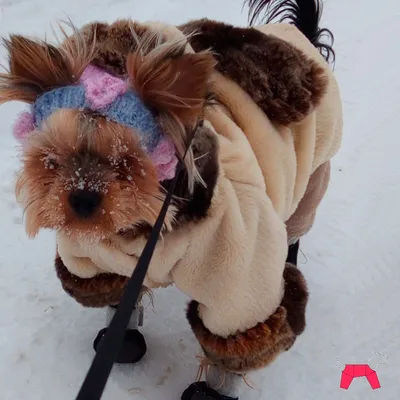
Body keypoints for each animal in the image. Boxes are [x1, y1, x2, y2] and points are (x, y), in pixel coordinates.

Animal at [0, 1, 344, 398]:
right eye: (53, 159)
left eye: (127, 163)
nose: (82, 200)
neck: (141, 225)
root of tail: (301, 36)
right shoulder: (102, 257)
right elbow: (115, 293)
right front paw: (121, 339)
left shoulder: (237, 266)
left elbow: (238, 327)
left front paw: (213, 391)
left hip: (314, 173)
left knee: (294, 226)